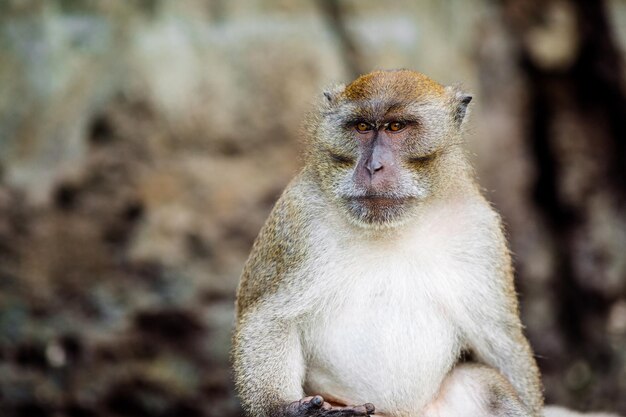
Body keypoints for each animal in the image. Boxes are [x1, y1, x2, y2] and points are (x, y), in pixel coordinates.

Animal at [232, 70, 544, 416]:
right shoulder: (297, 218)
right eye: (362, 127)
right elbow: (269, 320)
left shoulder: (480, 229)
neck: (392, 229)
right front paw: (288, 409)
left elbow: (501, 343)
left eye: (396, 127)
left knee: (486, 382)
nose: (372, 166)